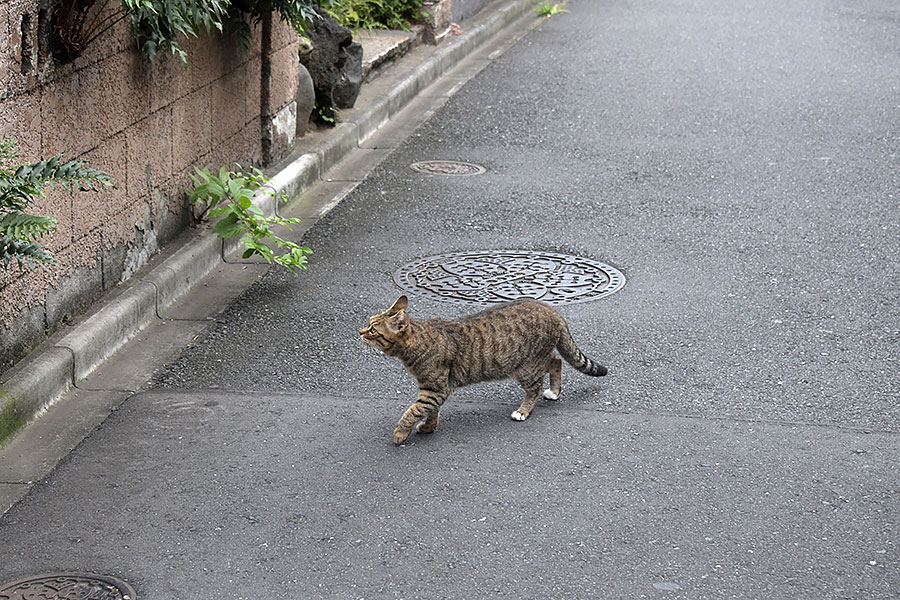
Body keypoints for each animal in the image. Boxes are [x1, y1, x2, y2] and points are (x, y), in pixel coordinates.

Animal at [362, 294, 608, 440]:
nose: (360, 332)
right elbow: (430, 411)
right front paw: (428, 427)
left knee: (535, 388)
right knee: (556, 360)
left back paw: (523, 411)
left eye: (373, 330)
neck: (418, 340)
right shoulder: (433, 389)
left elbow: (413, 411)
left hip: (527, 367)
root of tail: (553, 310)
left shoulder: (435, 389)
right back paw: (555, 392)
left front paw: (400, 433)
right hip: (532, 360)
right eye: (368, 323)